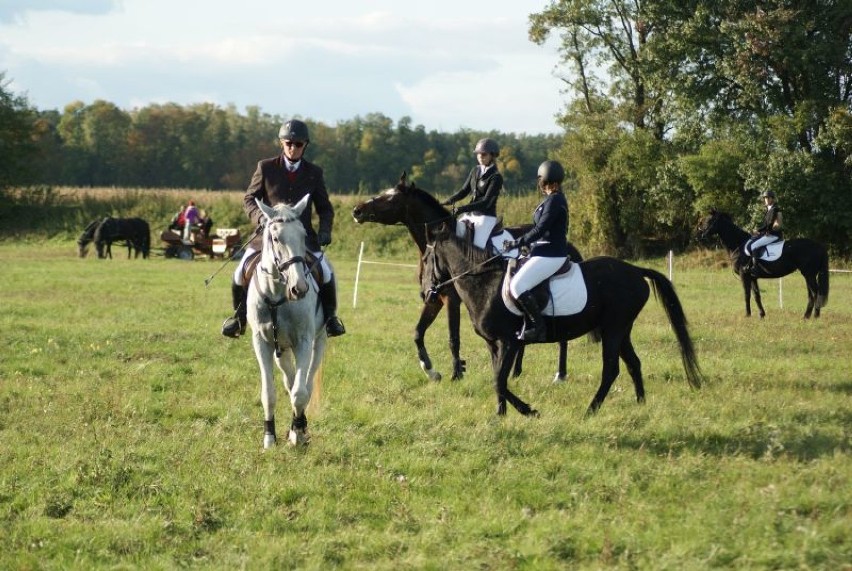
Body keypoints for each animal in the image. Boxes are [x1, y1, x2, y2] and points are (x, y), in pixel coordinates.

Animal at [350, 172, 584, 382]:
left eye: (390, 198)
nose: (357, 210)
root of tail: (569, 246)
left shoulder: (452, 300)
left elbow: (453, 338)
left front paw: (457, 373)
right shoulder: (434, 299)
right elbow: (418, 333)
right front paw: (431, 371)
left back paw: (560, 375)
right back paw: (517, 372)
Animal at [422, 219, 704, 416]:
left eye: (426, 259)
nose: (427, 293)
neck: (485, 283)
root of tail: (635, 270)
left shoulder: (510, 342)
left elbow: (499, 380)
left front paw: (523, 412)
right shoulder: (494, 344)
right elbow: (498, 380)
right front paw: (507, 413)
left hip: (613, 329)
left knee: (611, 370)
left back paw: (590, 411)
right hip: (621, 329)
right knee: (634, 363)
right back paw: (640, 405)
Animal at [696, 209, 828, 320]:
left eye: (709, 220)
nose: (701, 234)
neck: (739, 245)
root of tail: (819, 246)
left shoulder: (744, 275)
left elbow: (746, 295)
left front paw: (747, 315)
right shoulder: (752, 277)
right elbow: (756, 295)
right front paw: (761, 315)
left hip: (809, 274)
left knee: (816, 293)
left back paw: (814, 316)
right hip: (808, 274)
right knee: (812, 294)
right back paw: (808, 316)